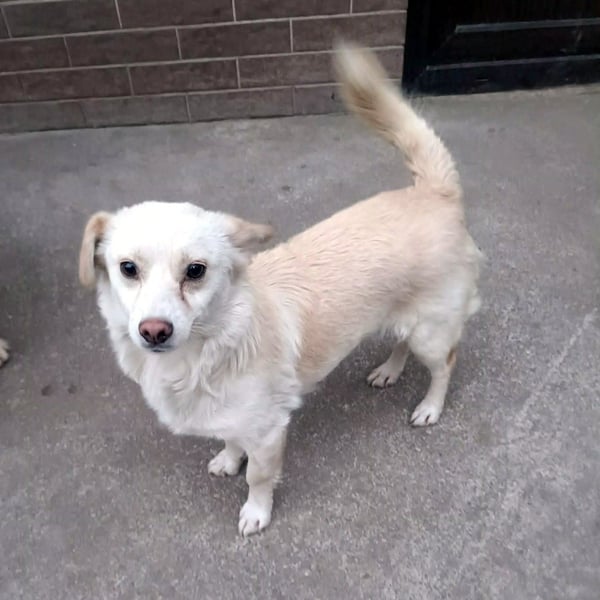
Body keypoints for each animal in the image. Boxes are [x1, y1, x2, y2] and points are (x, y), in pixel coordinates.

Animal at [78, 44, 482, 536]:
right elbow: (231, 439)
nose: (154, 330)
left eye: (195, 271)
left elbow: (258, 475)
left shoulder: (269, 429)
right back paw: (389, 370)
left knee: (444, 365)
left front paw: (256, 511)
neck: (209, 349)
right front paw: (228, 457)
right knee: (400, 341)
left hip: (432, 331)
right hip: (404, 316)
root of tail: (434, 192)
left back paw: (430, 407)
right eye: (128, 268)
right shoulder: (234, 418)